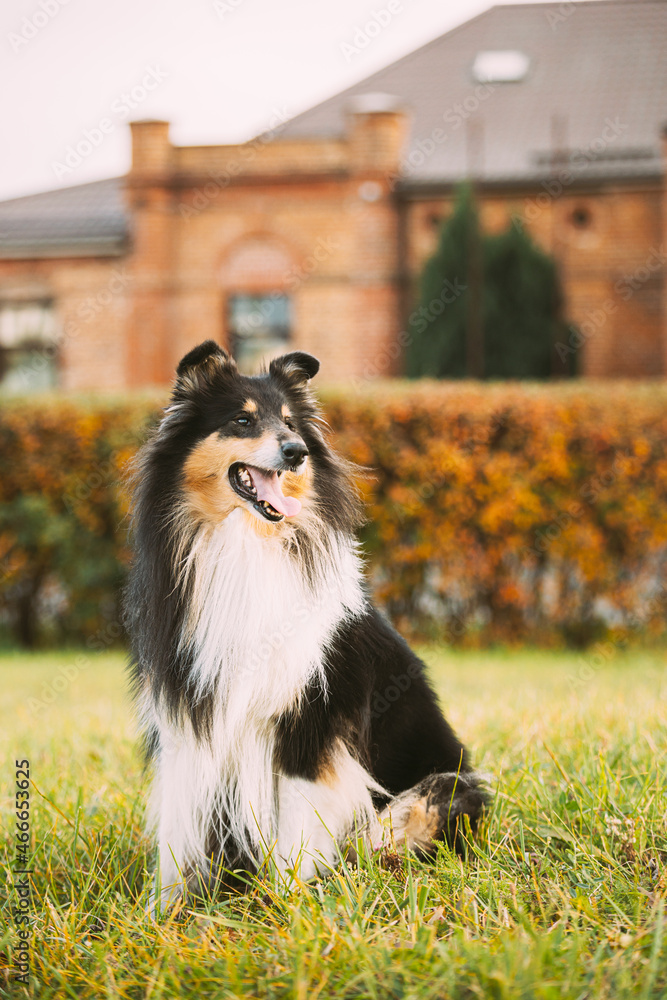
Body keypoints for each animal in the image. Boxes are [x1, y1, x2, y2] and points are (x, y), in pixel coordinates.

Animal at [125, 338, 488, 908]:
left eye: (292, 422)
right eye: (243, 420)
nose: (296, 450)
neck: (246, 546)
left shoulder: (311, 720)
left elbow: (297, 825)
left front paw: (285, 903)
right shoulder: (189, 717)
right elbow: (177, 838)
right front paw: (165, 913)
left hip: (447, 787)